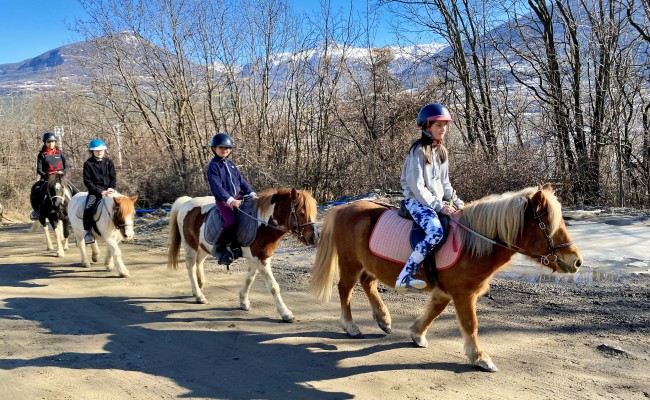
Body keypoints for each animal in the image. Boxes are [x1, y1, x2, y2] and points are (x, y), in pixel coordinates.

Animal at [167, 189, 316, 324]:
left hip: (204, 246)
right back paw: (199, 296)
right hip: (190, 245)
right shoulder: (261, 260)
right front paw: (286, 314)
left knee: (199, 262)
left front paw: (243, 301)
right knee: (191, 267)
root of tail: (186, 202)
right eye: (301, 213)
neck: (263, 224)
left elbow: (249, 279)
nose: (313, 238)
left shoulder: (256, 259)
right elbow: (273, 286)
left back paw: (199, 286)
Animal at [308, 184, 584, 372]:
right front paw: (480, 358)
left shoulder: (446, 291)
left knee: (368, 283)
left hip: (368, 264)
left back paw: (383, 319)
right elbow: (470, 324)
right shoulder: (464, 294)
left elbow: (434, 311)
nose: (577, 261)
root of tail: (344, 207)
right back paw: (351, 326)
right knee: (345, 290)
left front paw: (417, 334)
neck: (473, 243)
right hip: (350, 263)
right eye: (547, 226)